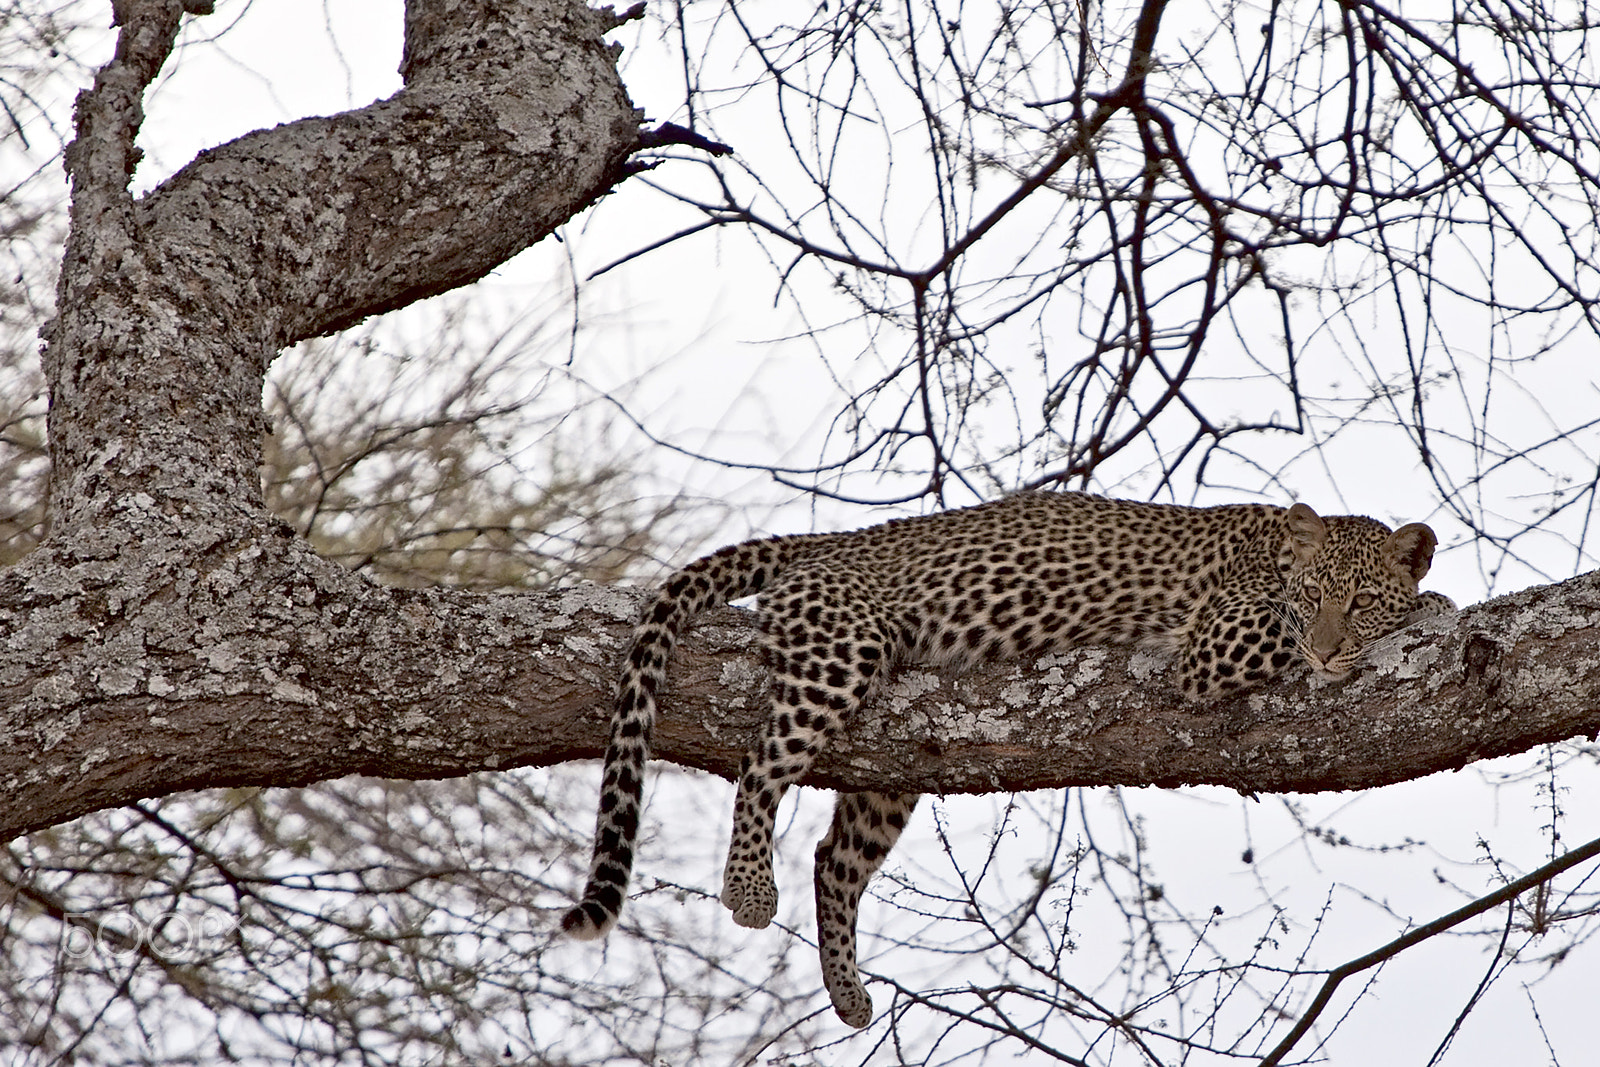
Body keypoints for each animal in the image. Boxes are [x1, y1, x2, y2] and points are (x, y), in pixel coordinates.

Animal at [561, 490, 1452, 1028]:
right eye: (1314, 598)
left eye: (1359, 601)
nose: (1331, 650)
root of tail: (843, 538)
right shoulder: (1214, 642)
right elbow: (1281, 629)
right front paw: (1431, 606)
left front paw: (1419, 602)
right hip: (840, 654)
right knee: (760, 766)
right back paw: (748, 888)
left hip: (896, 757)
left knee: (832, 857)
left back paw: (849, 992)